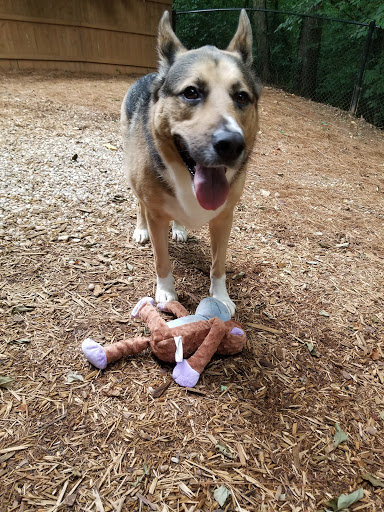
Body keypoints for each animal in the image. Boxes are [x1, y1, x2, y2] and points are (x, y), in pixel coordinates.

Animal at [121, 9, 260, 316]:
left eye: (241, 96)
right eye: (191, 92)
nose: (232, 144)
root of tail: (153, 74)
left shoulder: (224, 218)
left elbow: (218, 264)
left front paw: (220, 297)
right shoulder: (156, 214)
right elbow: (161, 260)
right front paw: (166, 293)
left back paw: (179, 228)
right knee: (138, 203)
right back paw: (141, 229)